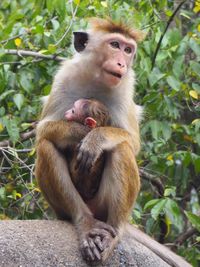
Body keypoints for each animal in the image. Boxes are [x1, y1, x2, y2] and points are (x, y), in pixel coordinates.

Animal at [34, 17, 191, 266]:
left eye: (128, 50)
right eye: (115, 44)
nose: (121, 63)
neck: (97, 79)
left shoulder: (126, 89)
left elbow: (132, 142)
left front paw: (94, 138)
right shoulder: (64, 78)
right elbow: (43, 131)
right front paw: (81, 132)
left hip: (104, 205)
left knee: (121, 149)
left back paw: (114, 232)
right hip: (67, 209)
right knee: (46, 146)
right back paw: (85, 223)